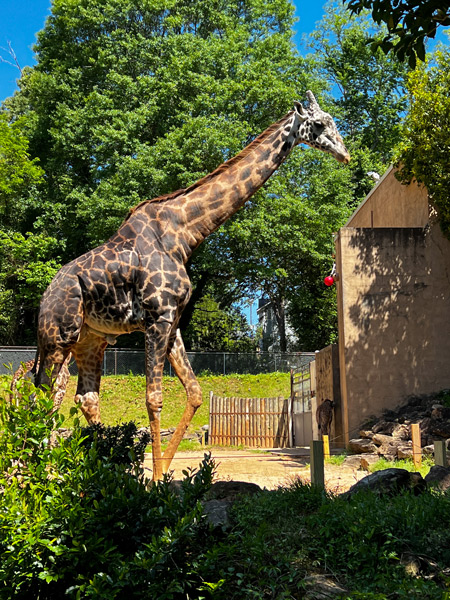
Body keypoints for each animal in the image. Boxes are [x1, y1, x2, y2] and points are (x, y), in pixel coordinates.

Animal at [36, 91, 352, 480]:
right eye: (319, 124)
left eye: (333, 120)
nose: (345, 154)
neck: (184, 234)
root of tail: (45, 297)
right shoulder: (156, 317)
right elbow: (154, 398)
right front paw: (155, 479)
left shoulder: (172, 321)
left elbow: (196, 393)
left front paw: (158, 476)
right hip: (58, 338)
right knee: (43, 395)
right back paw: (38, 469)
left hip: (91, 340)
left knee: (85, 397)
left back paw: (107, 471)